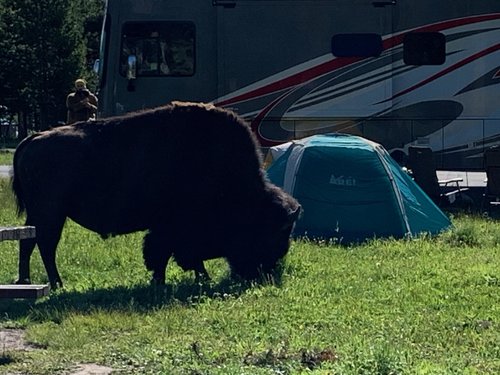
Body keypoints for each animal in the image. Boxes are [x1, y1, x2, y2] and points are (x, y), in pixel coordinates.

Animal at [12, 101, 300, 290]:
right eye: (275, 230)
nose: (265, 273)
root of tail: (31, 139)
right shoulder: (173, 228)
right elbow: (167, 253)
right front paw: (177, 280)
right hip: (51, 214)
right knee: (46, 245)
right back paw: (56, 284)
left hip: (39, 215)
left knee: (29, 243)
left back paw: (27, 280)